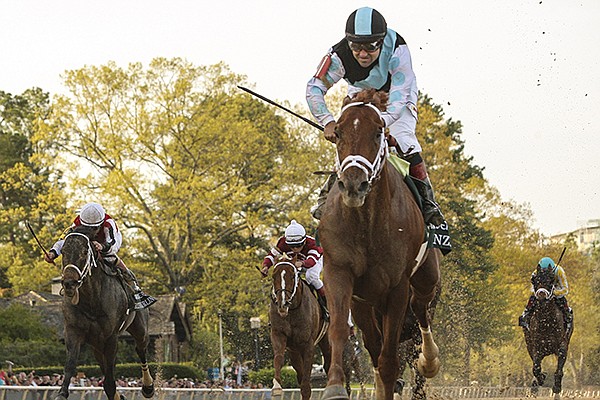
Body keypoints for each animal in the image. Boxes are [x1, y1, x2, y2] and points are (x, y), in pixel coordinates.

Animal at [56, 225, 155, 400]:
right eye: (64, 251)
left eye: (84, 252)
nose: (69, 283)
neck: (91, 301)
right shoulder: (73, 331)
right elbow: (71, 364)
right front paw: (62, 393)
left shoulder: (111, 337)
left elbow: (109, 380)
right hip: (96, 344)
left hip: (139, 328)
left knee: (140, 349)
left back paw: (148, 387)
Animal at [270, 255, 330, 398]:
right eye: (273, 276)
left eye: (293, 276)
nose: (283, 304)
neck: (292, 311)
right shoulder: (278, 333)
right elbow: (278, 357)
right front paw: (277, 386)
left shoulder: (308, 344)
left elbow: (306, 386)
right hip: (294, 351)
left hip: (326, 338)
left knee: (329, 363)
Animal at [318, 90, 440, 400]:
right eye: (338, 133)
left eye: (377, 133)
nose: (354, 184)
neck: (366, 225)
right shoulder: (339, 272)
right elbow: (340, 329)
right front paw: (334, 386)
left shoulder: (397, 285)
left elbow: (390, 361)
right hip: (365, 303)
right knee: (374, 346)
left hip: (426, 277)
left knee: (420, 309)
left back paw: (429, 360)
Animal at [524, 268, 576, 398]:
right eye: (535, 282)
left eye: (550, 282)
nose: (542, 296)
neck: (546, 321)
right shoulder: (536, 347)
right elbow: (536, 368)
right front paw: (541, 378)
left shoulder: (562, 345)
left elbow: (559, 370)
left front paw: (557, 387)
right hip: (529, 345)